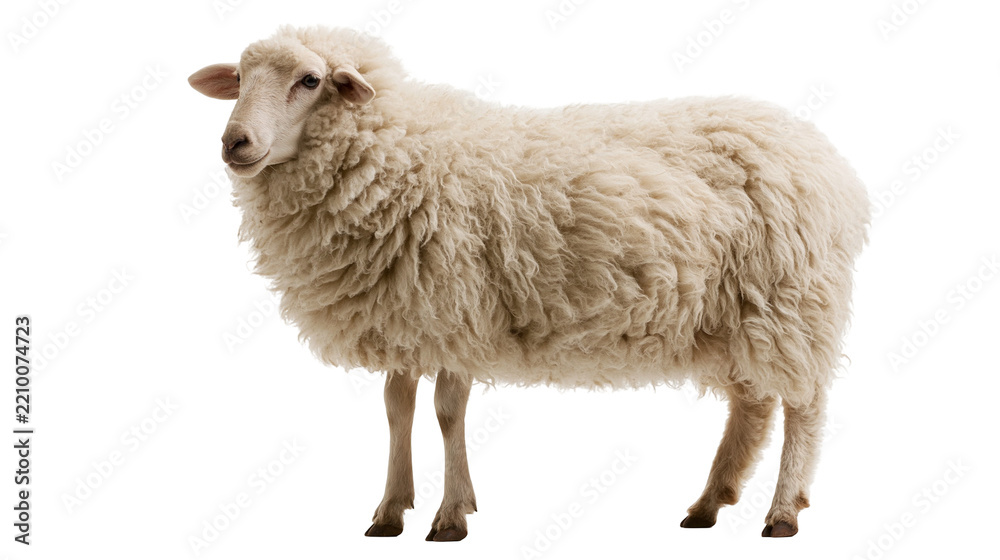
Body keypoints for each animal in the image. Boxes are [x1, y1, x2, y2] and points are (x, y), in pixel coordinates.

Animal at [189, 25, 870, 541]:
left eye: (310, 81)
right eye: (240, 80)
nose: (234, 142)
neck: (401, 152)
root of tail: (825, 156)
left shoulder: (456, 306)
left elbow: (447, 411)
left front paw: (450, 516)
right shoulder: (407, 313)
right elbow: (396, 408)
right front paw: (390, 511)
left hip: (792, 299)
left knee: (804, 405)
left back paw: (781, 512)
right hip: (738, 311)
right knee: (753, 403)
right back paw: (708, 503)